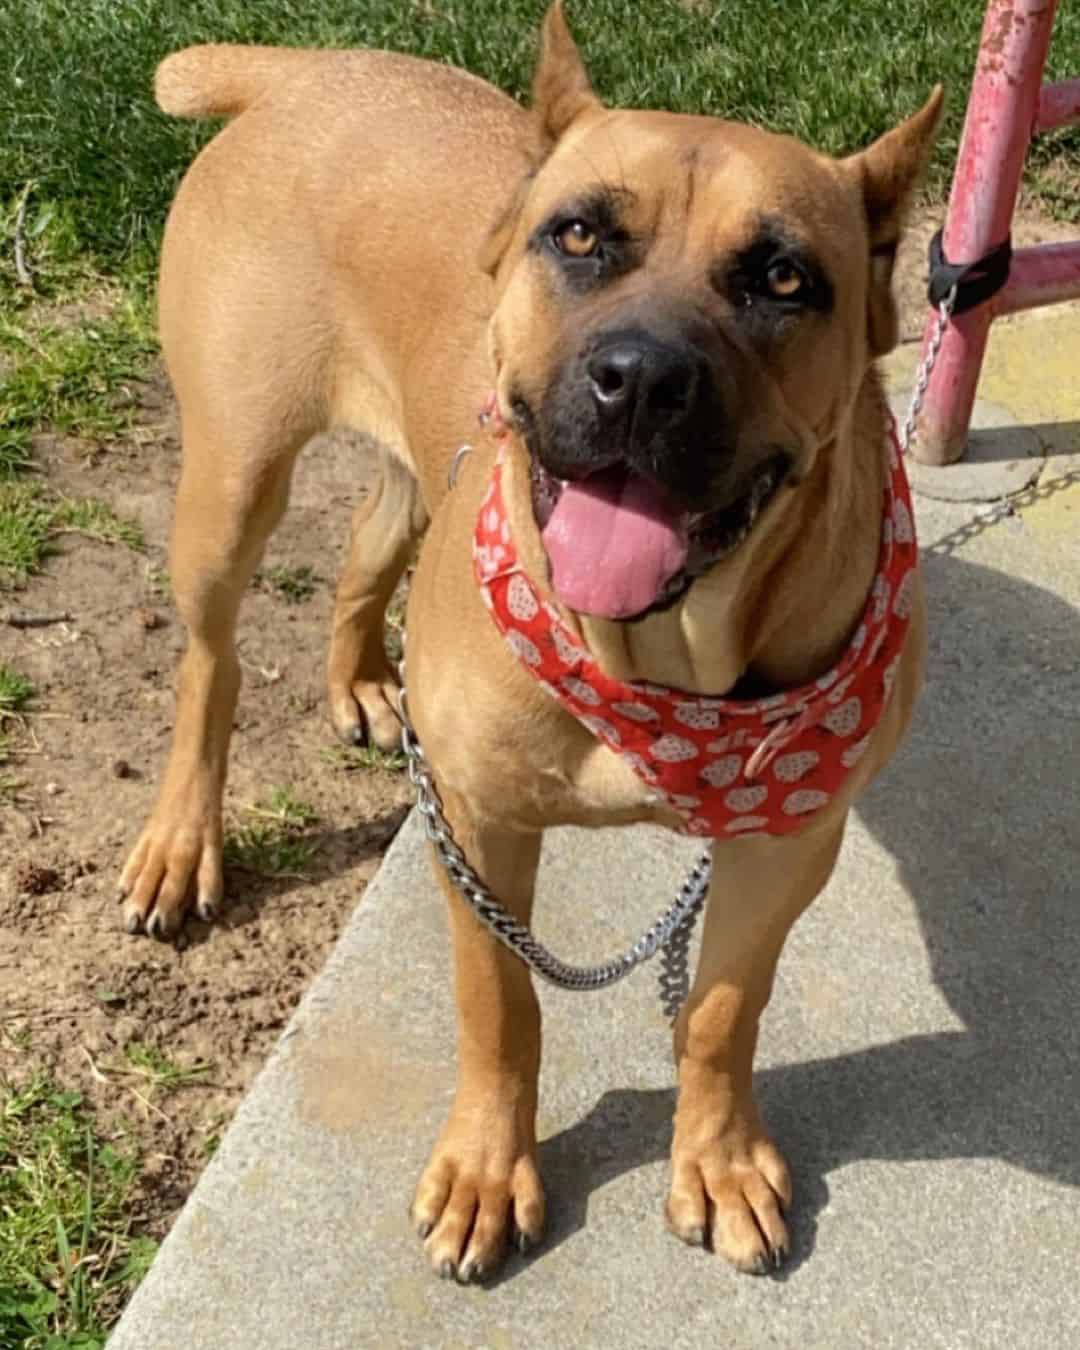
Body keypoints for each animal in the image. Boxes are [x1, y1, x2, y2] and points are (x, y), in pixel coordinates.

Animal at [124, 7, 934, 1274]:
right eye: (581, 233)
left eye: (784, 277)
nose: (642, 378)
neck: (661, 667)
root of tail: (311, 68)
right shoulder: (478, 825)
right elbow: (501, 1002)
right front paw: (487, 1174)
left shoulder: (790, 840)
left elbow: (723, 1008)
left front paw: (716, 1157)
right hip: (228, 486)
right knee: (212, 667)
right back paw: (178, 846)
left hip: (405, 469)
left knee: (365, 544)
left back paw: (365, 682)